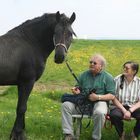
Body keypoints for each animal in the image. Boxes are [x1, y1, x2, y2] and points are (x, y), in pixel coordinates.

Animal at [0, 11, 75, 139]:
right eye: (55, 32)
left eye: (70, 33)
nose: (60, 57)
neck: (30, 43)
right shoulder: (27, 82)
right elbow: (22, 108)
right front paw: (18, 134)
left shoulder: (21, 83)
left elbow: (22, 106)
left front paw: (20, 132)